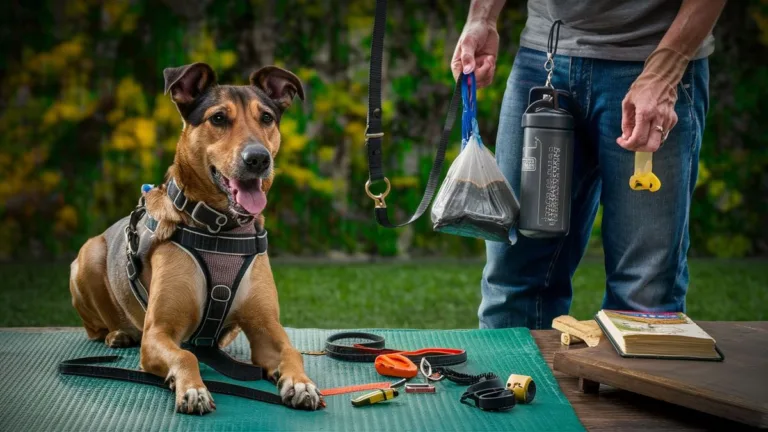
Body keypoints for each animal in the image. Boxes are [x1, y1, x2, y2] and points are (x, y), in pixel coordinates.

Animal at [69, 62, 324, 414]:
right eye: (218, 118)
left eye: (266, 118)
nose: (259, 159)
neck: (221, 229)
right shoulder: (158, 333)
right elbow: (186, 354)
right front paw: (193, 389)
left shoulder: (266, 327)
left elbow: (291, 351)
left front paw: (300, 383)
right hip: (88, 256)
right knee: (96, 327)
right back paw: (118, 333)